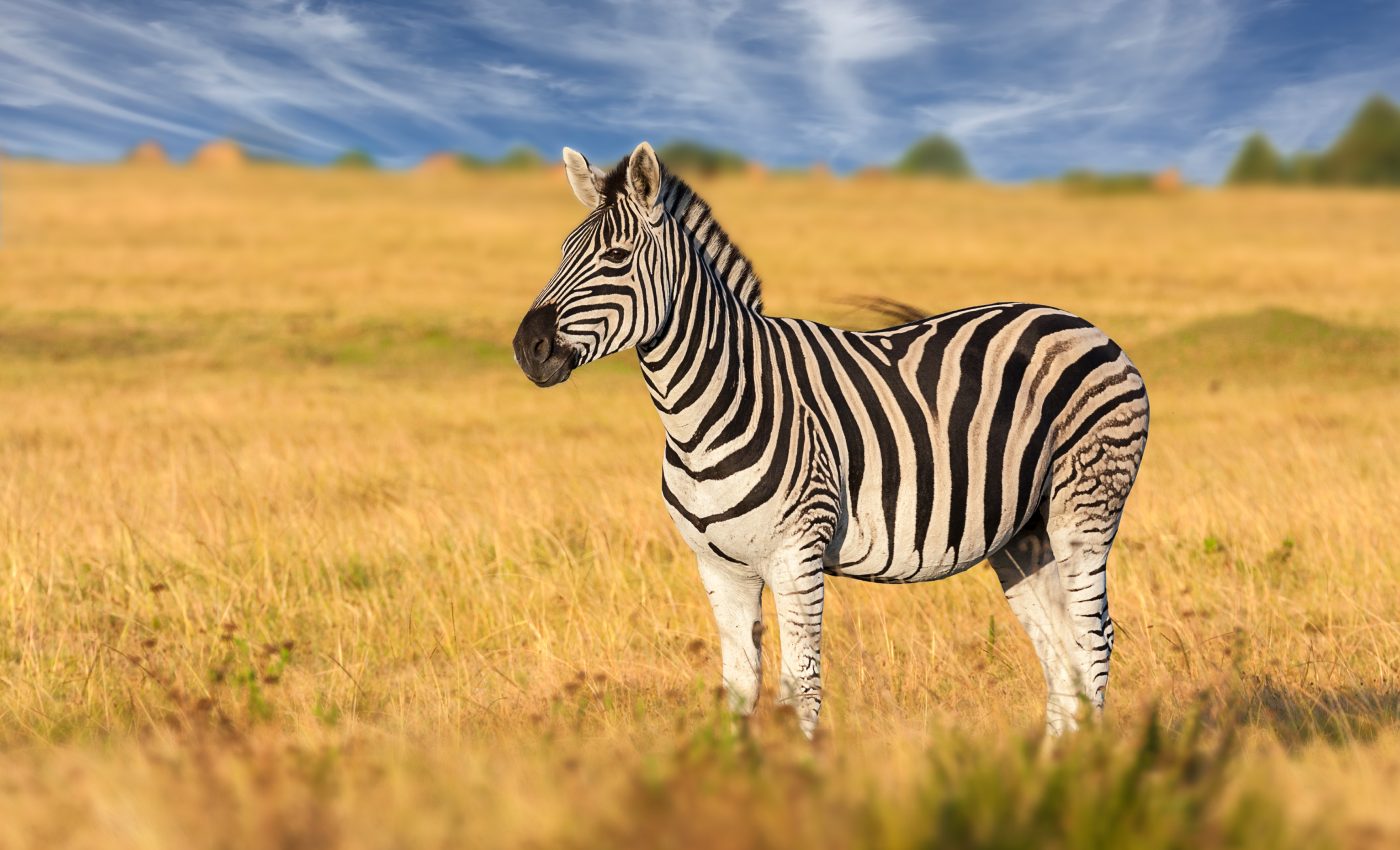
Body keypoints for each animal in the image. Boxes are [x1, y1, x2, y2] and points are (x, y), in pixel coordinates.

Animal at [514, 142, 1149, 738]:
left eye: (616, 258)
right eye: (564, 251)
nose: (528, 348)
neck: (705, 411)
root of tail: (1080, 323)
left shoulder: (798, 554)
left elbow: (801, 688)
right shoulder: (718, 566)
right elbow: (740, 687)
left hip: (1084, 508)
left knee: (1093, 641)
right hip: (1023, 534)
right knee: (1061, 652)